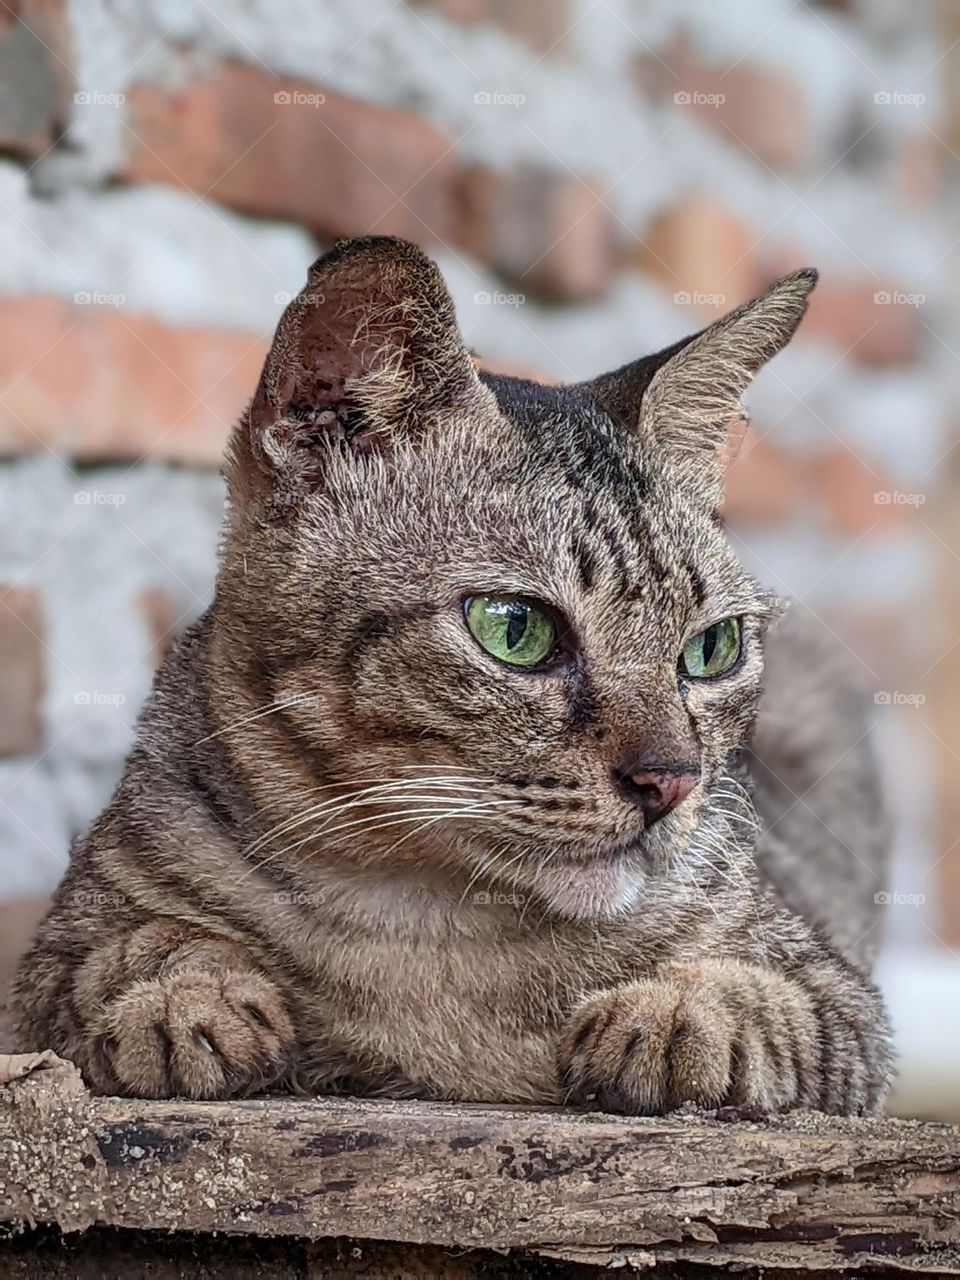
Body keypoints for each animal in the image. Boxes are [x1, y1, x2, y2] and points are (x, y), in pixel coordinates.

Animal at [11, 238, 896, 1111]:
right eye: (516, 629)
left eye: (712, 649)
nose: (671, 782)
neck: (433, 936)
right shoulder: (52, 960)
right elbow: (131, 948)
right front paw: (181, 993)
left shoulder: (840, 995)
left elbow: (772, 997)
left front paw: (683, 1012)